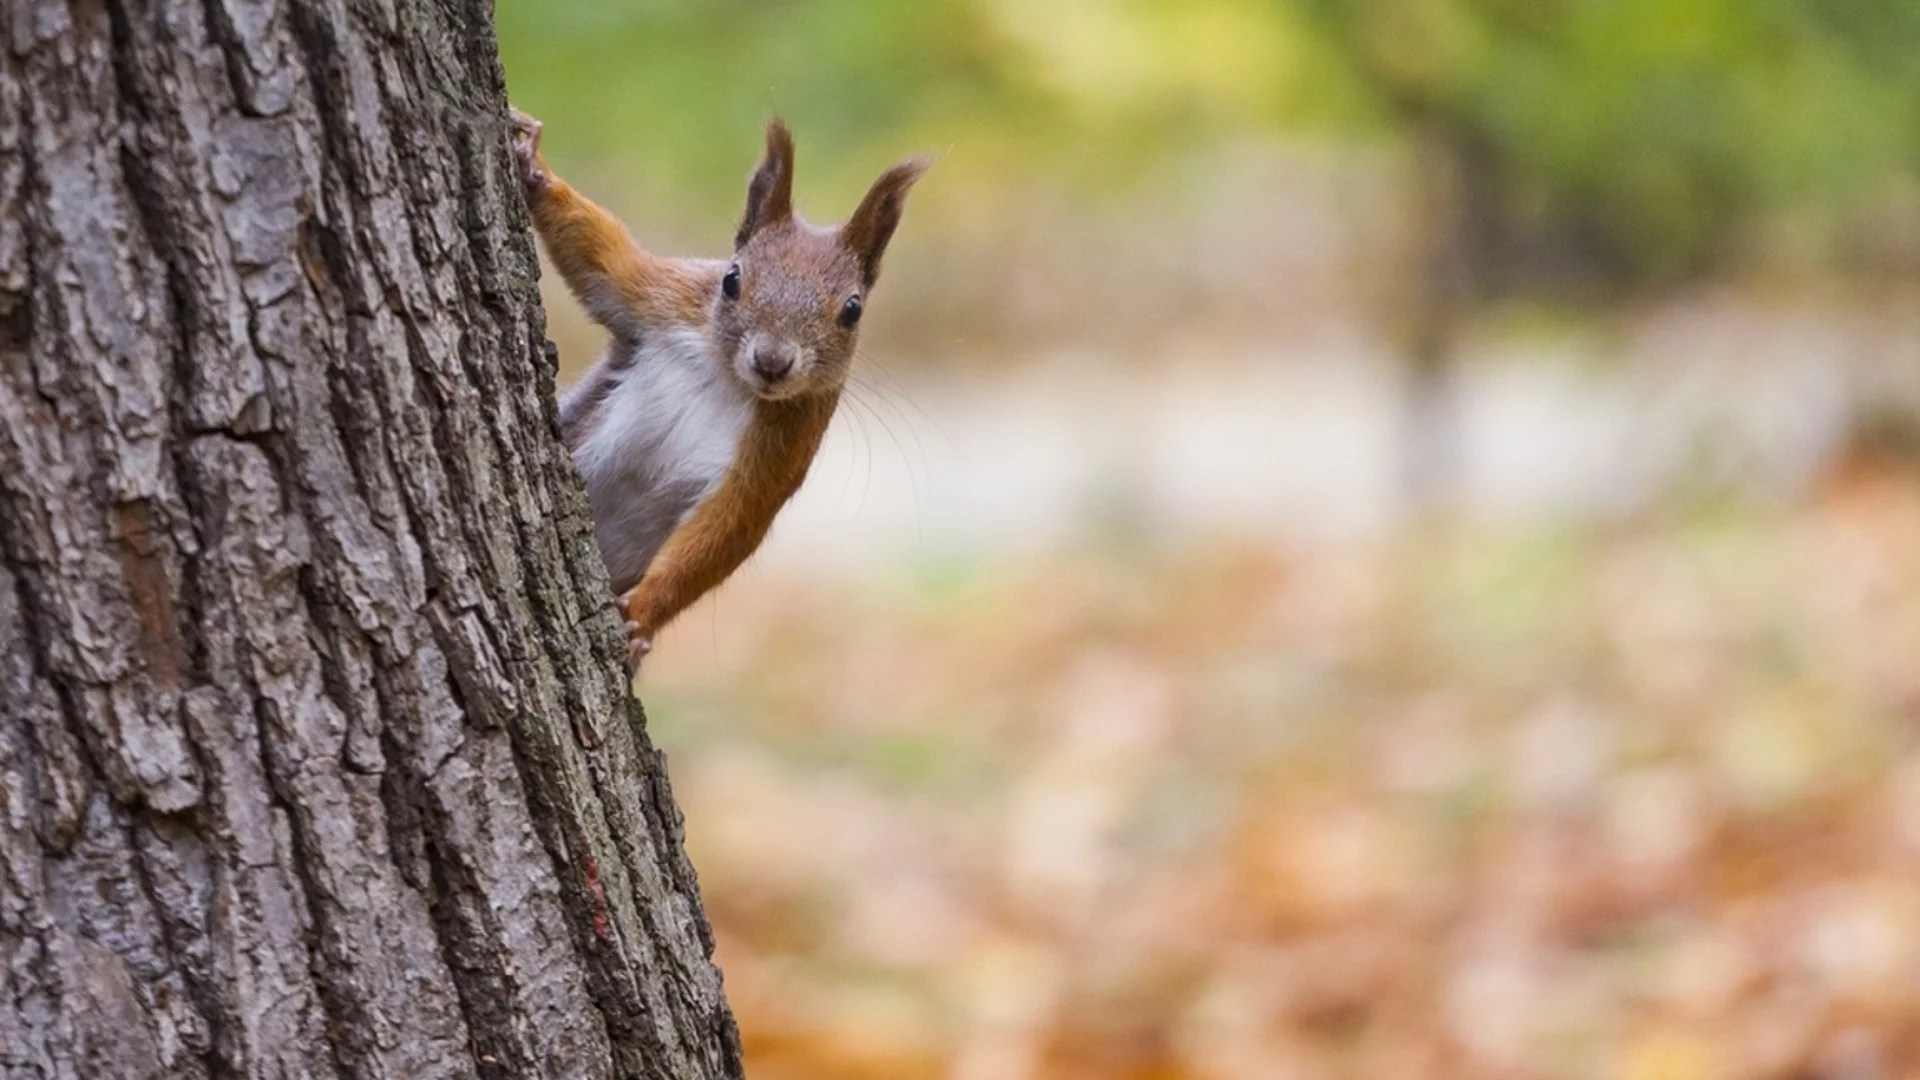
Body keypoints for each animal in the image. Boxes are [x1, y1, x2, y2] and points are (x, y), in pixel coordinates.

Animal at [510, 109, 929, 664]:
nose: (772, 362)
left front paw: (642, 616)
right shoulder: (664, 298)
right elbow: (605, 258)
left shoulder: (783, 447)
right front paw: (534, 167)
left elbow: (727, 527)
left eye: (853, 310)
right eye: (731, 279)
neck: (727, 376)